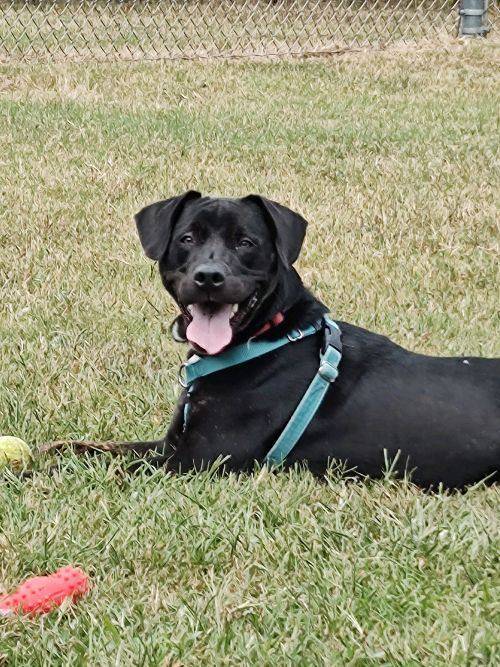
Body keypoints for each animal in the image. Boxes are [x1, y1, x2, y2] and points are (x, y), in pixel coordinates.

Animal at [130, 190, 500, 488]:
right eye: (187, 239)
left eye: (246, 243)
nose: (209, 277)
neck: (266, 336)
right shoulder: (171, 445)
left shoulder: (199, 458)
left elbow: (121, 464)